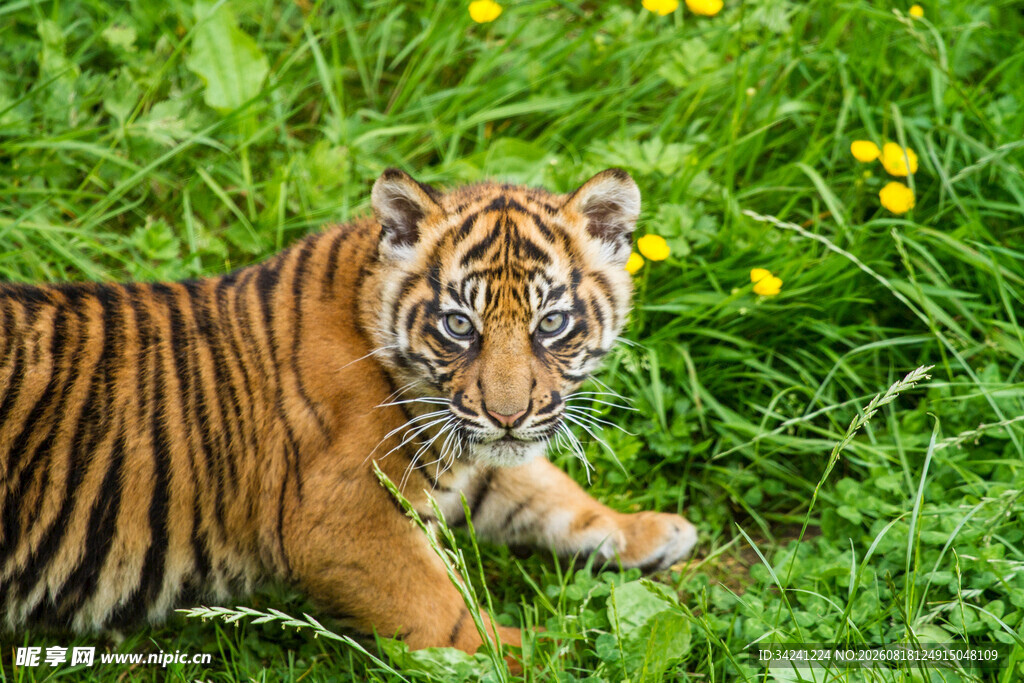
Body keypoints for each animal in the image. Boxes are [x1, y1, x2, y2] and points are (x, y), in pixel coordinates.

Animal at [0, 168, 698, 659]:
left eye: (551, 323)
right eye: (459, 326)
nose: (508, 415)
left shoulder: (473, 453)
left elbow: (547, 494)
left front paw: (651, 531)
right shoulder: (342, 519)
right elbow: (446, 613)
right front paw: (548, 657)